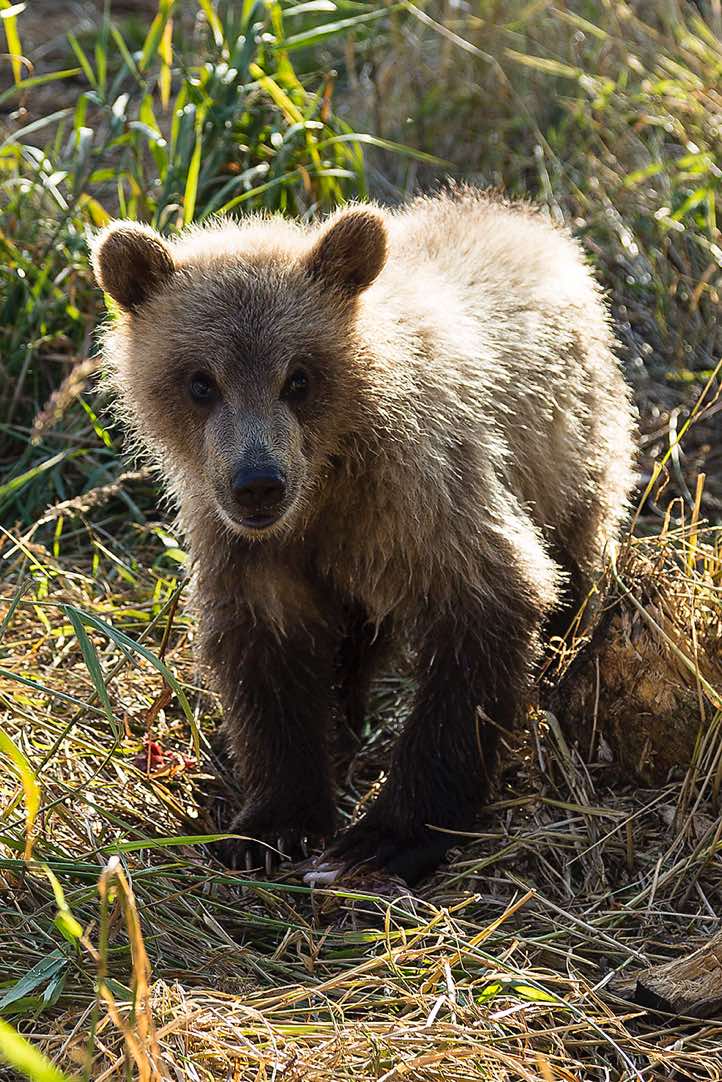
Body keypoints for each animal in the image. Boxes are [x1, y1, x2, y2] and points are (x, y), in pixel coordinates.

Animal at [91, 188, 637, 885]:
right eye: (201, 381)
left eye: (298, 377)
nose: (257, 483)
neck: (326, 484)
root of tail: (526, 217)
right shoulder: (250, 549)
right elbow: (270, 665)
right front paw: (274, 822)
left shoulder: (425, 497)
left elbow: (486, 619)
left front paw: (383, 839)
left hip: (572, 451)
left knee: (576, 553)